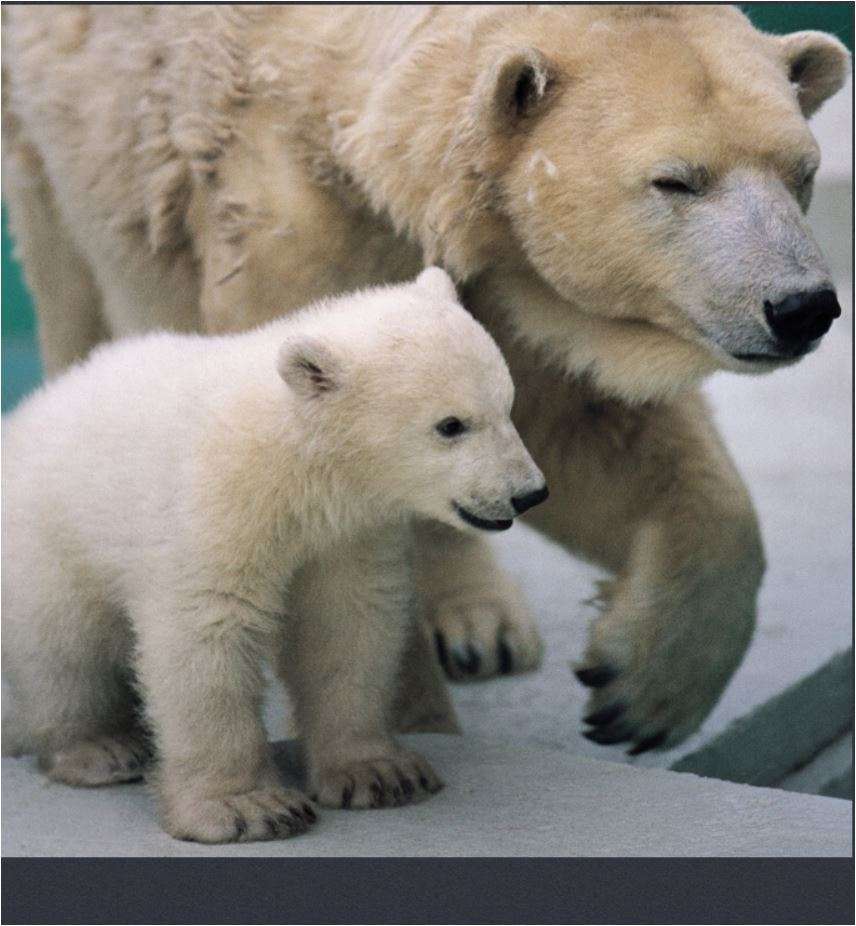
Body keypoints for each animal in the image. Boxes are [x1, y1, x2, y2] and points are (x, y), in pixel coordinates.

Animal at [1, 5, 848, 752]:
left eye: (801, 172)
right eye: (675, 180)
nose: (802, 307)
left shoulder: (508, 281)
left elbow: (590, 430)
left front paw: (639, 692)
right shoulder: (296, 229)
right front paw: (413, 727)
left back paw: (482, 621)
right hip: (49, 149)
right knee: (71, 288)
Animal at [1, 270, 548, 848]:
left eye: (507, 404)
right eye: (451, 425)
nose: (528, 493)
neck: (287, 460)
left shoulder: (346, 533)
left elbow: (347, 628)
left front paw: (378, 773)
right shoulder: (216, 507)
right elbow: (208, 636)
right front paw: (246, 807)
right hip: (46, 543)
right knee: (61, 650)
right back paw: (100, 748)